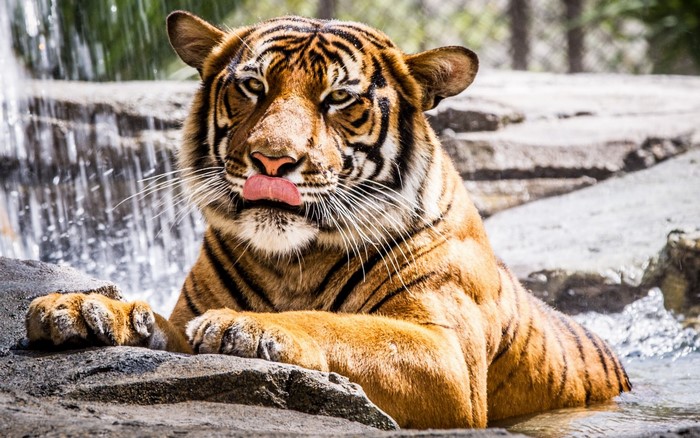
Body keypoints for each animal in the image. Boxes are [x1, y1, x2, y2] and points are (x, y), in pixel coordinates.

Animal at [25, 10, 631, 429]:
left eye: (339, 98)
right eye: (252, 86)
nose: (272, 160)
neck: (292, 260)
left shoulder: (448, 359)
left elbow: (339, 326)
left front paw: (248, 326)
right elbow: (159, 324)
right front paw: (83, 308)